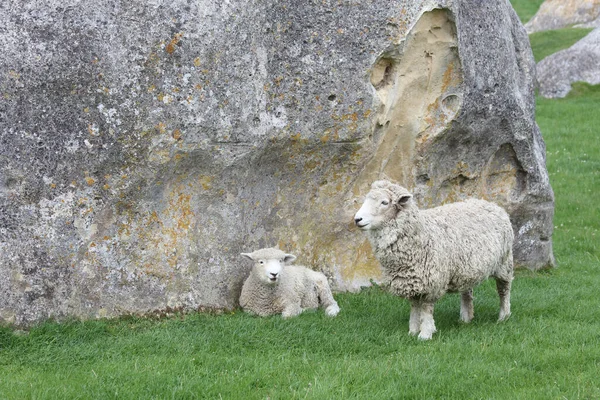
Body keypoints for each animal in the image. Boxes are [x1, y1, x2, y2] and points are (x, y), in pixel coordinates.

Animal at [354, 181, 512, 340]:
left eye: (384, 202)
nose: (357, 219)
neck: (421, 234)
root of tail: (491, 204)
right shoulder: (413, 280)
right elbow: (414, 307)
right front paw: (412, 331)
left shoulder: (431, 281)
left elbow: (426, 309)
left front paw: (425, 334)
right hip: (466, 268)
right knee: (467, 291)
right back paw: (466, 318)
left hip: (504, 262)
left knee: (503, 290)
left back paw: (503, 316)